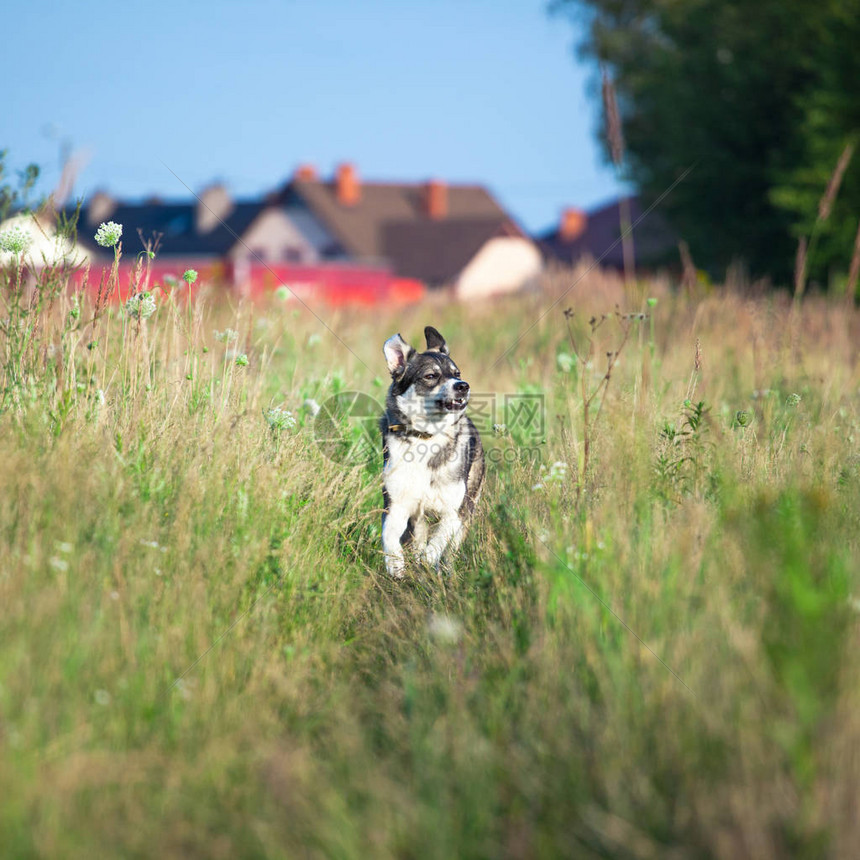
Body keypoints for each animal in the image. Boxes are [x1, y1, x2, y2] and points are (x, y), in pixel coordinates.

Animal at [382, 326, 484, 580]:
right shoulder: (396, 505)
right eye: (431, 376)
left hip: (468, 507)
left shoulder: (453, 513)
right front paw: (395, 564)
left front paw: (428, 563)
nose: (463, 385)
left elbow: (437, 544)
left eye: (457, 373)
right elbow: (389, 536)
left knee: (450, 550)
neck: (426, 436)